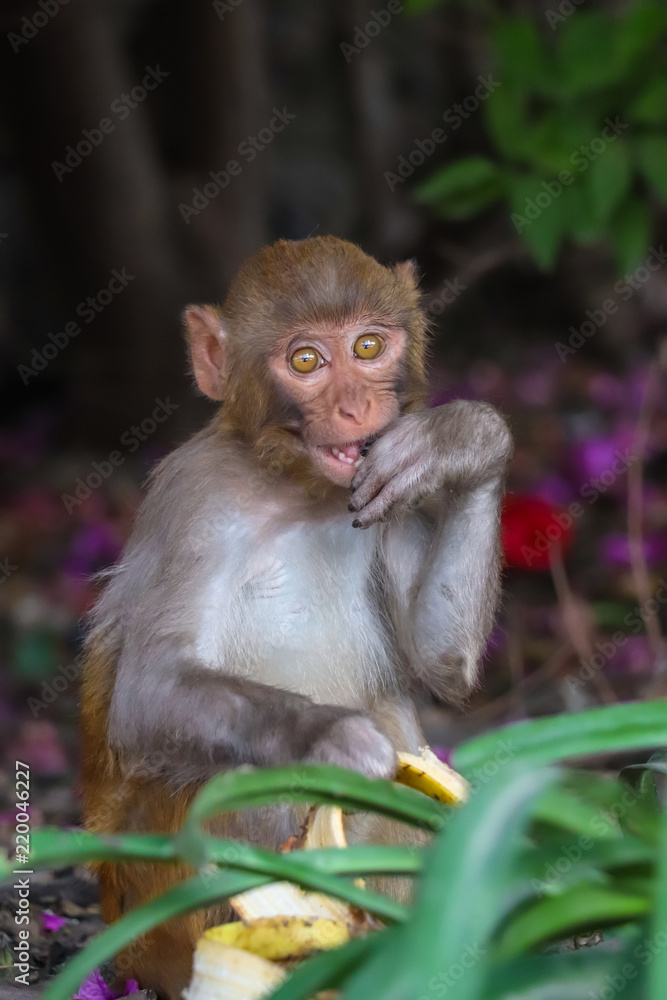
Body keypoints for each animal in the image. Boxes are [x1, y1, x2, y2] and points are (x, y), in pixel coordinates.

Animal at [80, 235, 512, 1000]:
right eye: (306, 361)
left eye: (367, 346)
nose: (356, 405)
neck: (293, 488)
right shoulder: (194, 501)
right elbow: (147, 694)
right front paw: (338, 740)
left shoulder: (383, 484)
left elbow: (438, 658)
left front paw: (462, 441)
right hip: (155, 919)